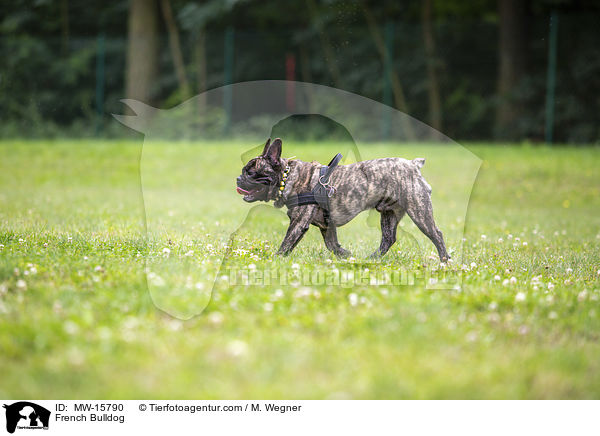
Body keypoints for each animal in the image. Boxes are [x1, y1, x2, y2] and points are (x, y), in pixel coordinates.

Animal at [237, 138, 448, 260]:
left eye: (251, 172)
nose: (239, 178)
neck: (288, 177)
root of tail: (413, 165)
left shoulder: (298, 223)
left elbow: (287, 242)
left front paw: (276, 259)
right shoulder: (326, 226)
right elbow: (331, 244)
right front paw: (344, 255)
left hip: (418, 210)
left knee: (436, 234)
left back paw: (445, 261)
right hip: (389, 214)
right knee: (388, 238)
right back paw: (373, 259)